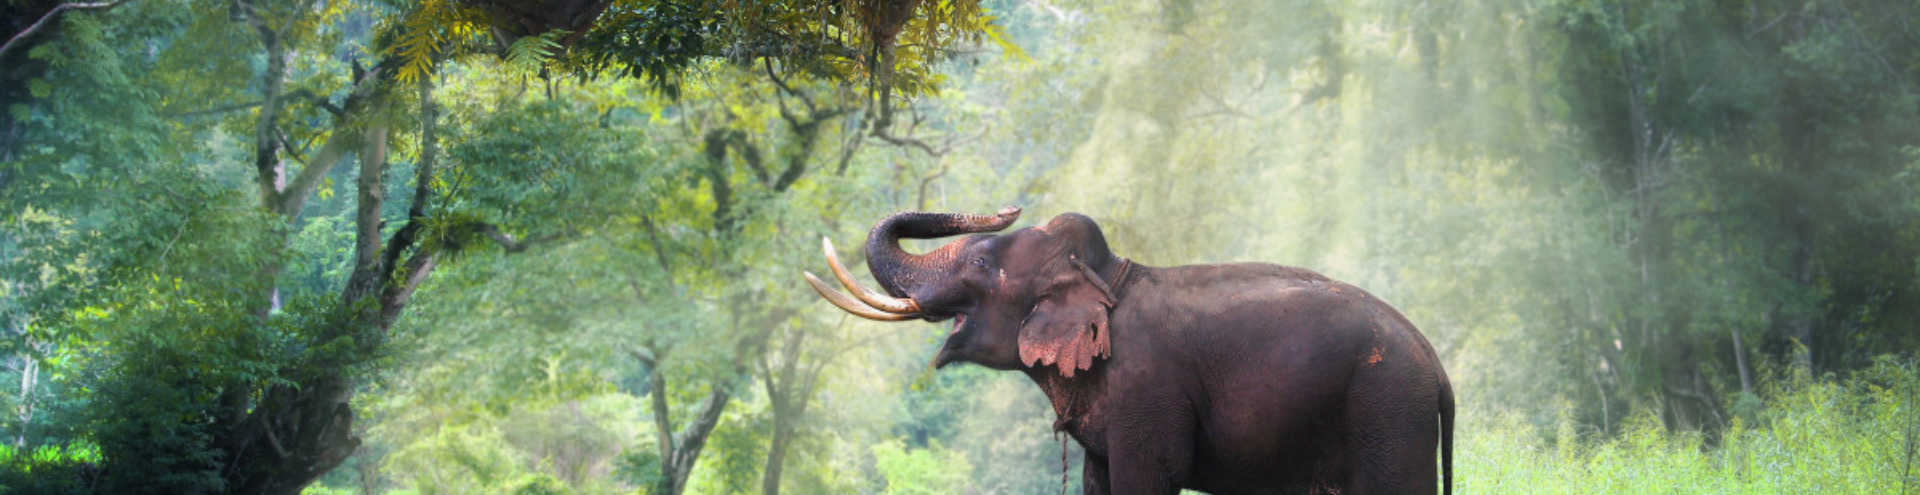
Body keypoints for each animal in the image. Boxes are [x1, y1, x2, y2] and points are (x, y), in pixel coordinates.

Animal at [803, 207, 1454, 495]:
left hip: (1388, 412)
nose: (1010, 206)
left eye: (984, 262)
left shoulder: (1149, 388)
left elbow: (1150, 476)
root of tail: (1439, 371)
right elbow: (1101, 480)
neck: (1109, 276)